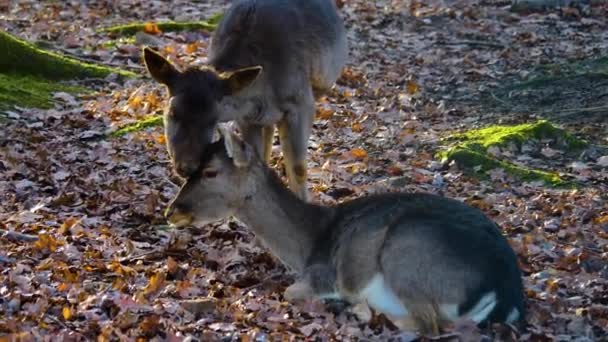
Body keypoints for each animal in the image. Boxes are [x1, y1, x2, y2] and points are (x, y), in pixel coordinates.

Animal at [142, 0, 346, 200]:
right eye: (172, 112)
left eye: (213, 119)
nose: (187, 165)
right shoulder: (245, 117)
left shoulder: (302, 102)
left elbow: (299, 168)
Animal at [164, 128, 524, 334]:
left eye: (210, 172)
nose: (172, 211)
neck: (308, 244)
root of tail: (504, 290)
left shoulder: (322, 274)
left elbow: (291, 292)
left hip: (407, 251)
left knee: (429, 326)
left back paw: (360, 309)